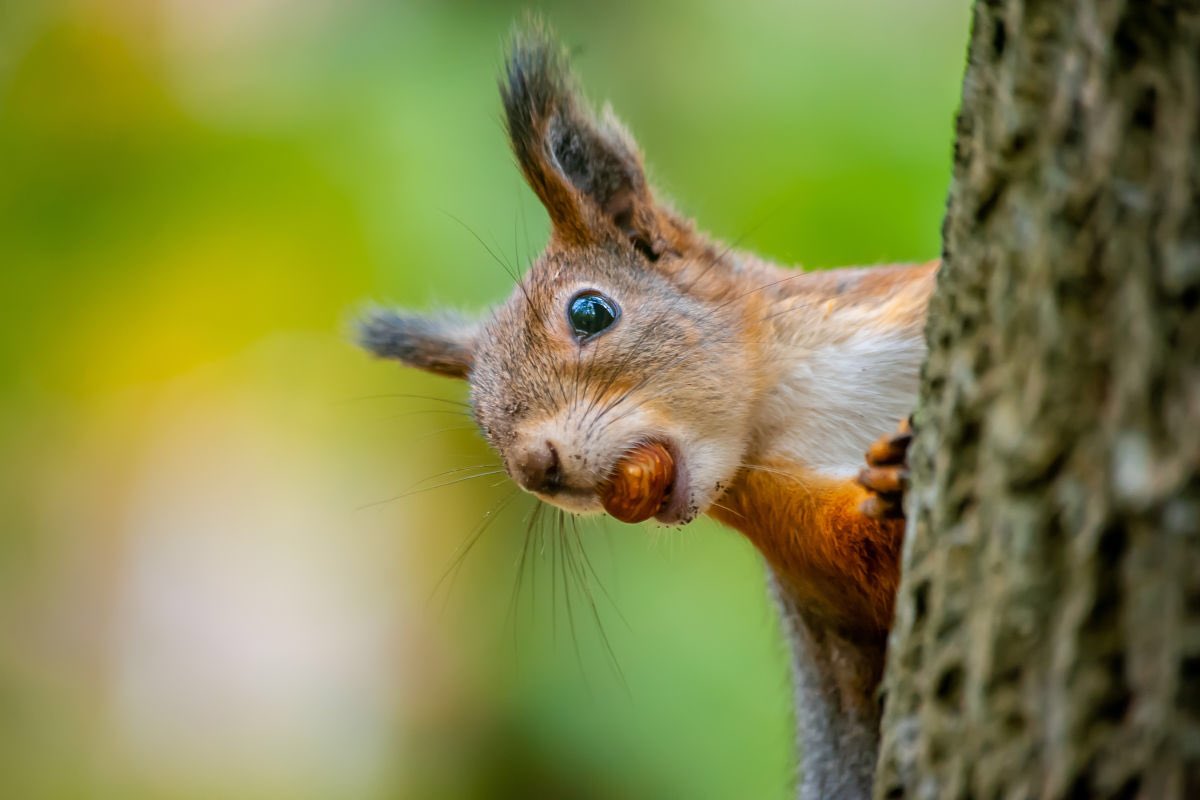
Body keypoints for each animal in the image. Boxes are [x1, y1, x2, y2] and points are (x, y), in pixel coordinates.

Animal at [358, 23, 935, 800]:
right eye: (479, 422)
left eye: (590, 312)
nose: (534, 468)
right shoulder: (796, 538)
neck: (800, 397)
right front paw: (894, 480)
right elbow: (871, 575)